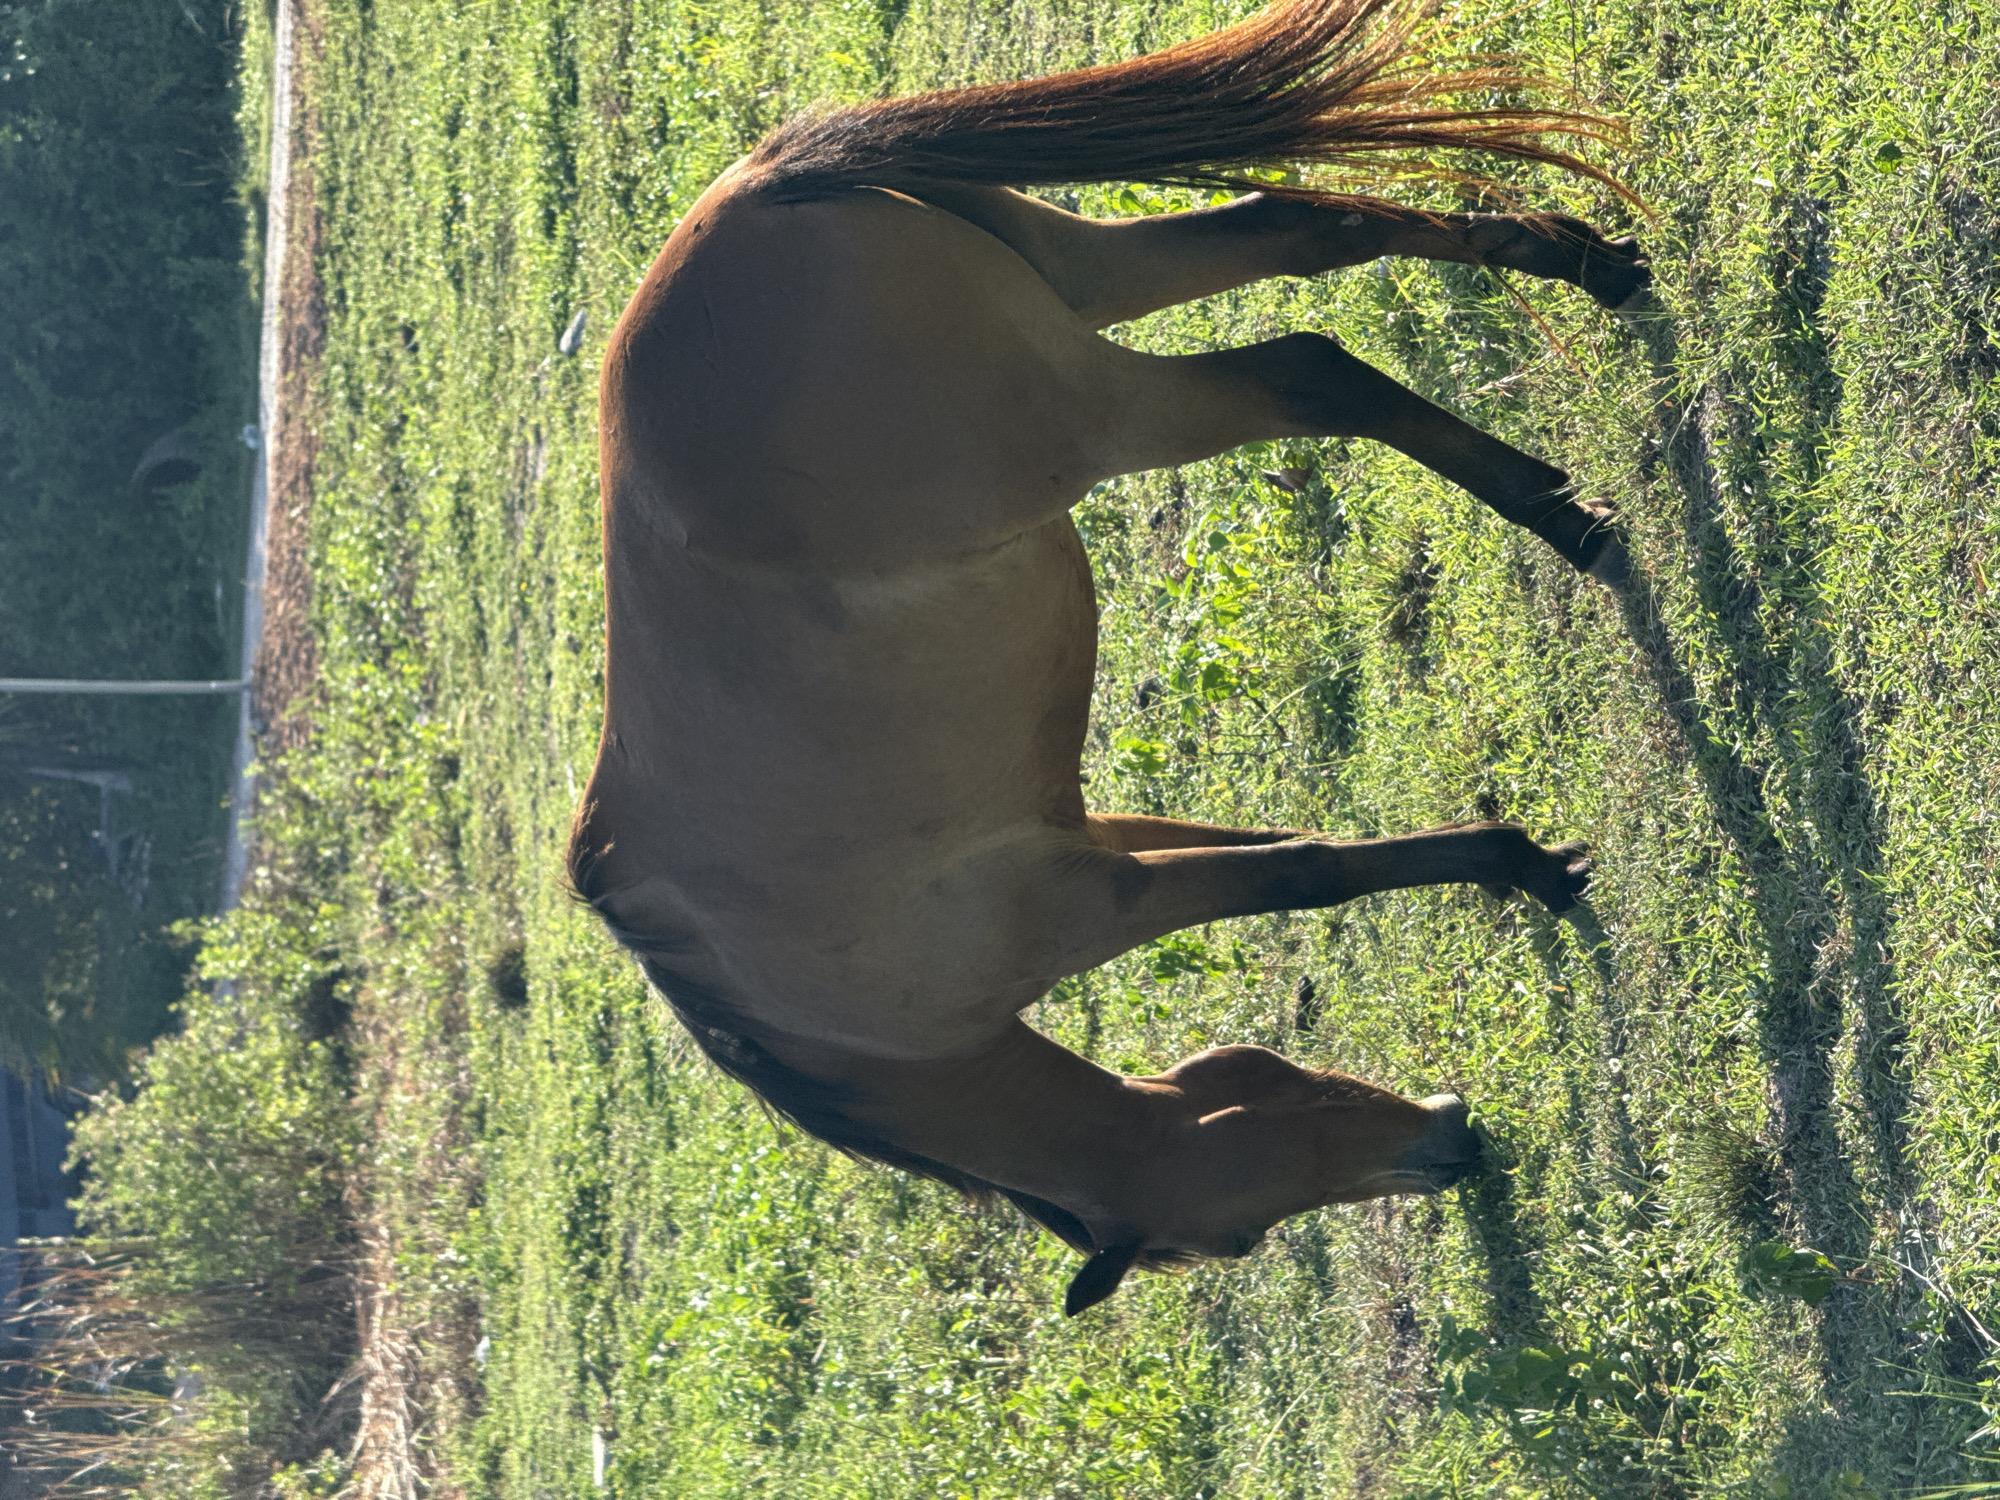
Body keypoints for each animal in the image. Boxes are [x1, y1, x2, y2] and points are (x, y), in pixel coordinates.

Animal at [568, 0, 1646, 1315]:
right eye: (1238, 1236)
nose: (1454, 1145)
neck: (852, 1026)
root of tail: (753, 194)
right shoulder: (1088, 835)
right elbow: (1290, 845)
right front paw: (1514, 861)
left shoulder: (1093, 902)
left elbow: (1302, 874)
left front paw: (1518, 863)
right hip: (1086, 277)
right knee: (1300, 232)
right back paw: (1589, 273)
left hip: (1097, 414)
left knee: (1302, 369)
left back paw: (1566, 521)